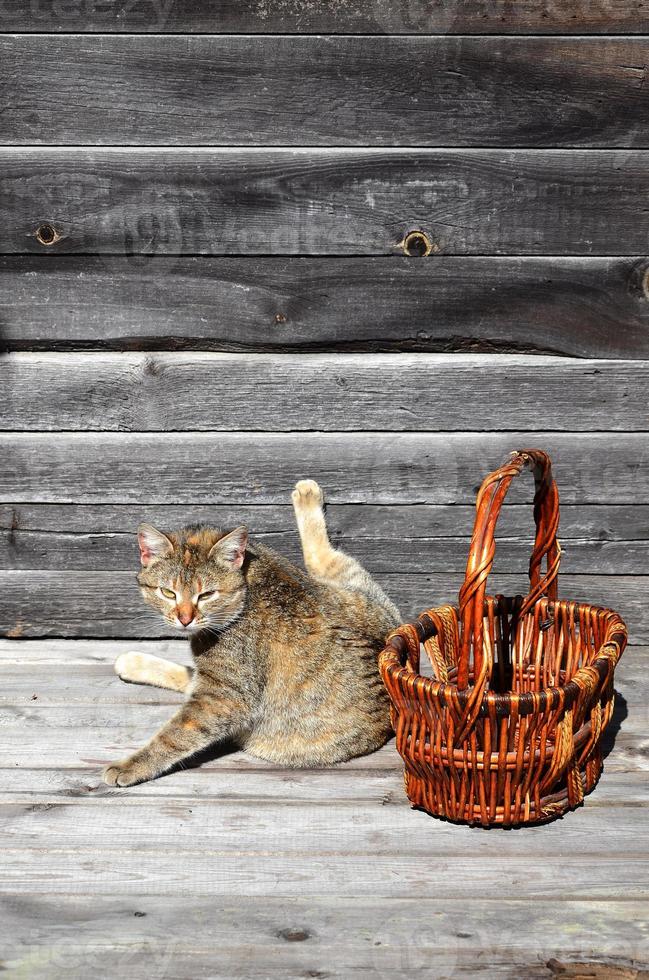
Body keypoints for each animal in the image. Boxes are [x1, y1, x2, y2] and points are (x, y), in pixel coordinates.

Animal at [102, 478, 400, 784]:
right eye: (168, 592)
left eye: (206, 594)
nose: (185, 618)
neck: (246, 587)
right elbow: (188, 678)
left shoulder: (225, 698)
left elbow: (175, 735)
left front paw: (131, 765)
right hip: (355, 590)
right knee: (325, 557)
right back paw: (307, 495)